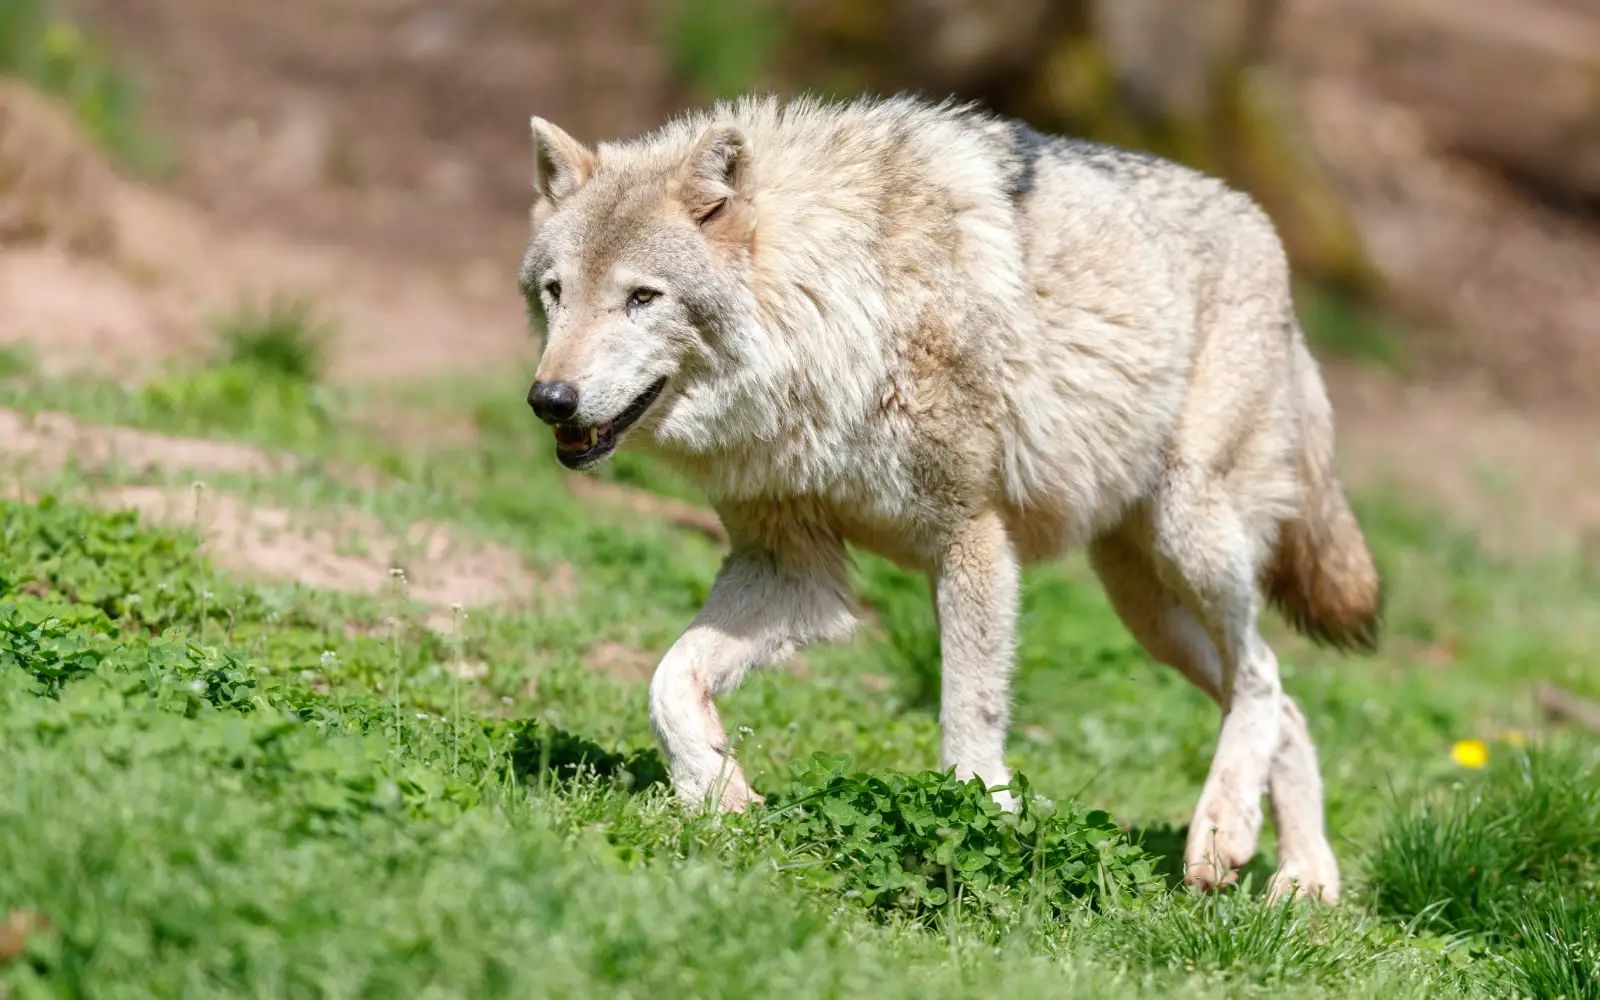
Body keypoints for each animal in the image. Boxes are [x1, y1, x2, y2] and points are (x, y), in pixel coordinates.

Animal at [518, 95, 1381, 902]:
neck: (844, 315)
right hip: (1146, 608)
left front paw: (984, 831)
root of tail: (1269, 238)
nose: (549, 400)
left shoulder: (974, 540)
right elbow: (667, 681)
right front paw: (716, 792)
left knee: (1261, 674)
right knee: (1285, 703)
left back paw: (1227, 830)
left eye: (642, 298)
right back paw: (1304, 880)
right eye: (556, 293)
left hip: (1189, 538)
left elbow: (970, 720)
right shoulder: (792, 568)